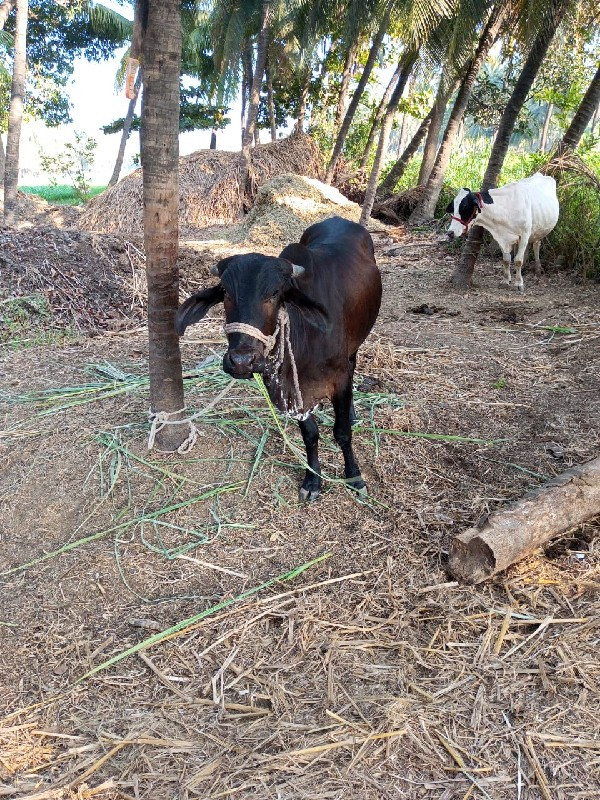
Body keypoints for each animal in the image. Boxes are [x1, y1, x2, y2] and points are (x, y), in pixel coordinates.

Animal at [175, 216, 380, 496]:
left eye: (274, 293)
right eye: (225, 292)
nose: (241, 361)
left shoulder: (339, 380)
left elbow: (342, 433)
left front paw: (354, 476)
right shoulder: (295, 393)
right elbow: (310, 435)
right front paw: (312, 480)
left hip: (355, 347)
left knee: (354, 365)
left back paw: (351, 412)